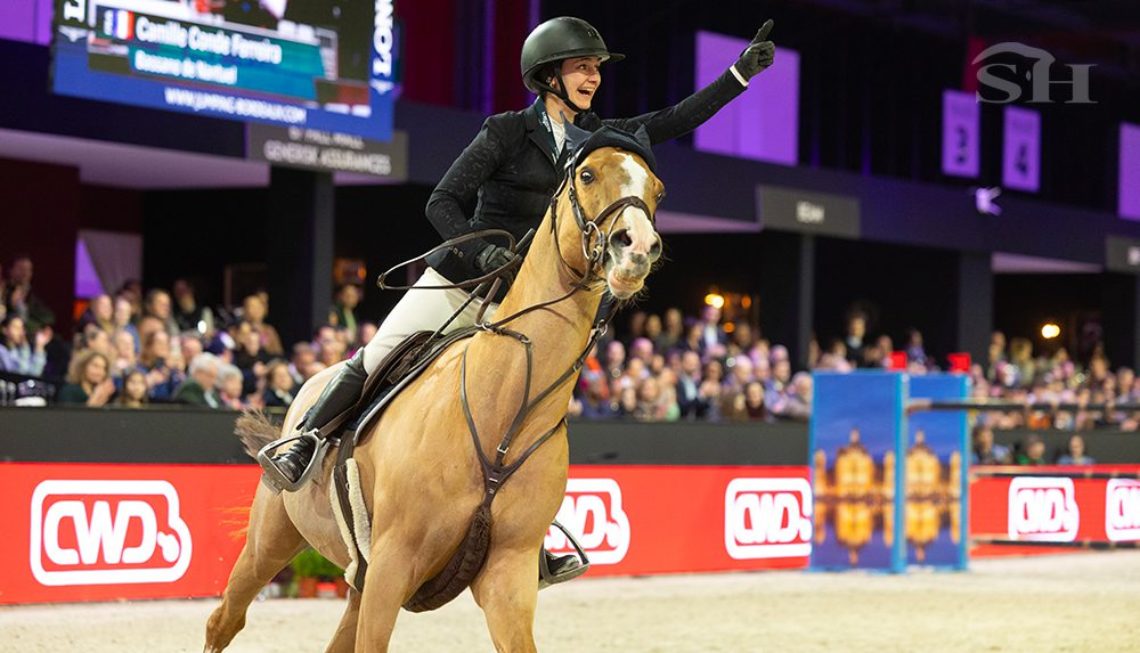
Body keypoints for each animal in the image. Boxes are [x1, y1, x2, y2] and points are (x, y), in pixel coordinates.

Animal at [204, 131, 665, 653]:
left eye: (658, 189)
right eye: (587, 174)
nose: (637, 249)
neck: (504, 411)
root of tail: (311, 384)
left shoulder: (508, 574)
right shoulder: (392, 563)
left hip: (356, 578)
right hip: (272, 539)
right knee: (225, 618)